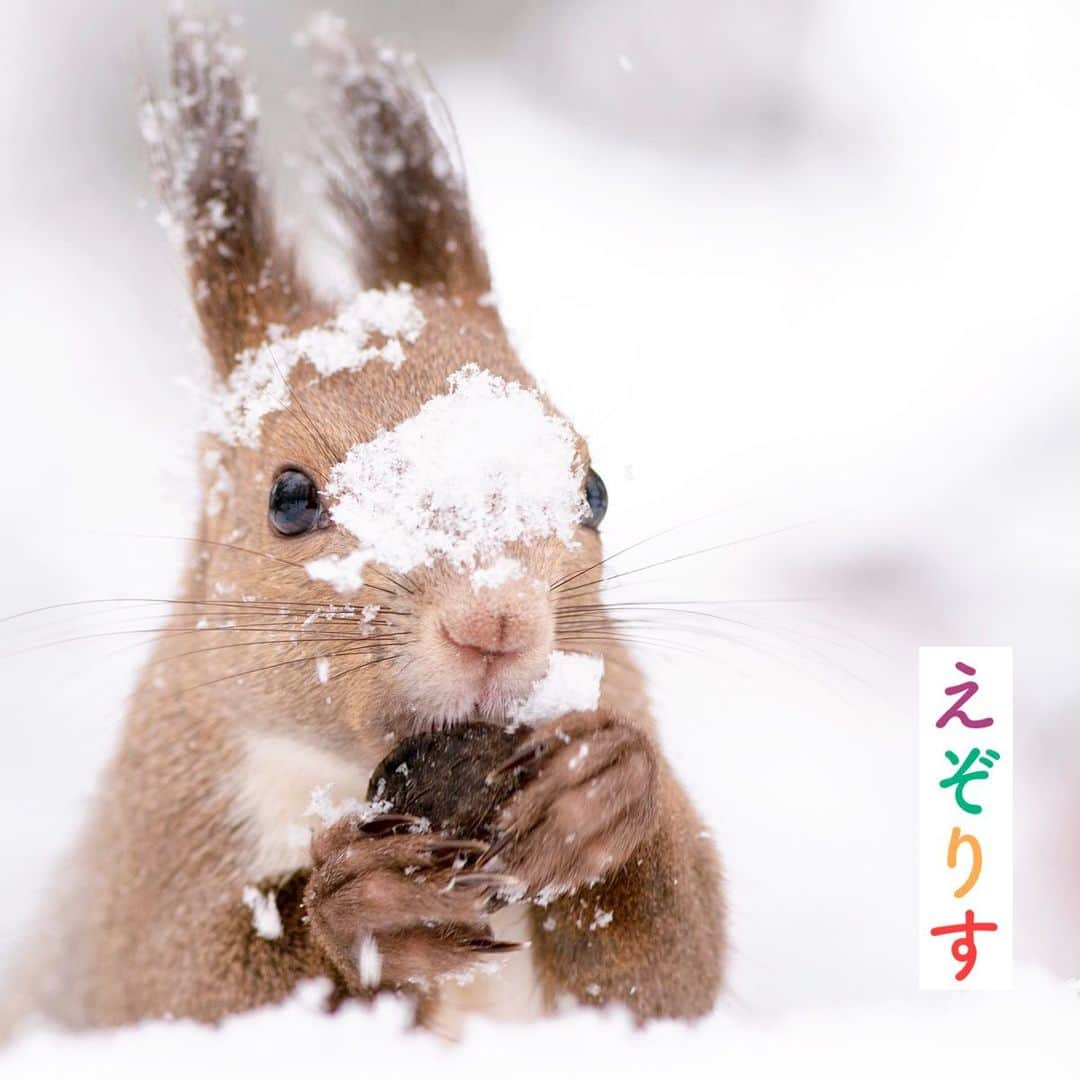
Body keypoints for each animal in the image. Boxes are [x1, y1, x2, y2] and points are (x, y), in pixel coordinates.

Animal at [2, 10, 725, 1036]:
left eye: (593, 490)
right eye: (288, 498)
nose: (495, 622)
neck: (348, 772)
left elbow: (666, 977)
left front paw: (606, 791)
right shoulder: (145, 857)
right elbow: (181, 988)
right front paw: (361, 911)